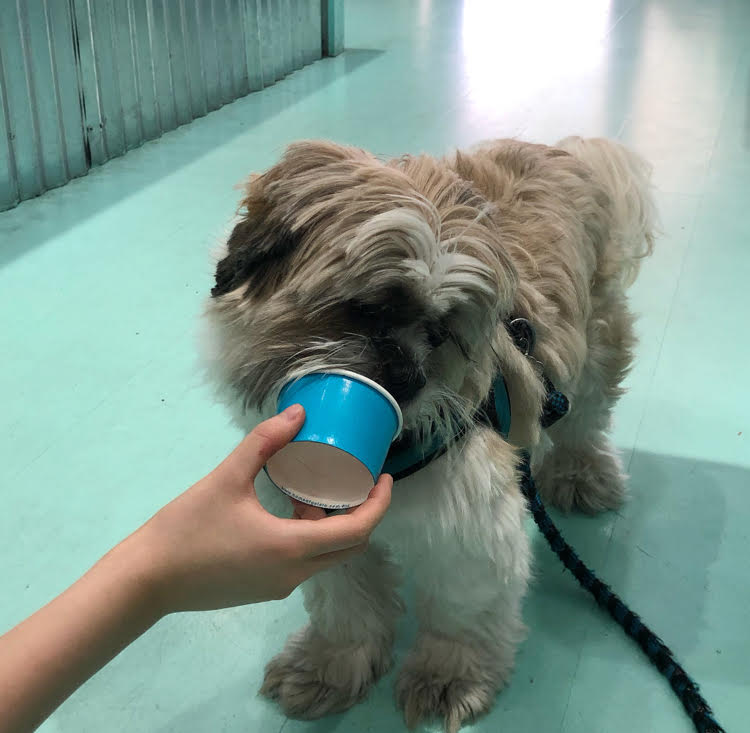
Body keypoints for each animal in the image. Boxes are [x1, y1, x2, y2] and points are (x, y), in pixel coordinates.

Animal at [201, 136, 656, 728]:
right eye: (366, 309)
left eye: (439, 332)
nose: (409, 377)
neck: (390, 457)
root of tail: (564, 149)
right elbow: (344, 605)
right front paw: (328, 668)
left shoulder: (470, 528)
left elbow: (461, 607)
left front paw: (447, 677)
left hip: (594, 349)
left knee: (585, 417)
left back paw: (581, 472)